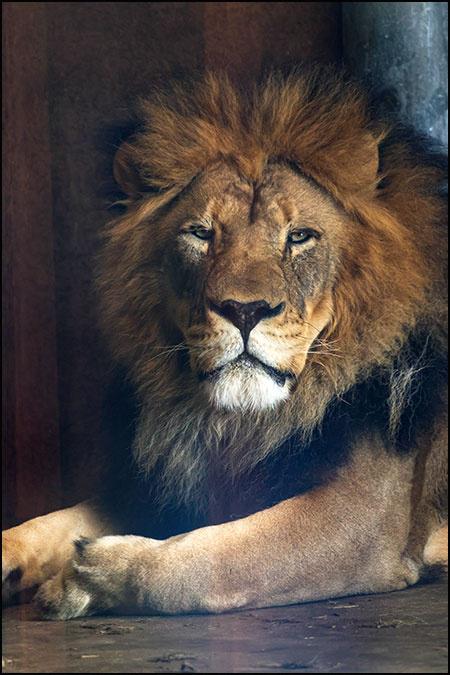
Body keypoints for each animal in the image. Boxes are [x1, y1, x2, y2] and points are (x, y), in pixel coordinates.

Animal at [3, 68, 448, 619]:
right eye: (200, 233)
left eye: (299, 236)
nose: (245, 310)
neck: (240, 424)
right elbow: (57, 519)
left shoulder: (363, 520)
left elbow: (212, 559)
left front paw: (89, 576)